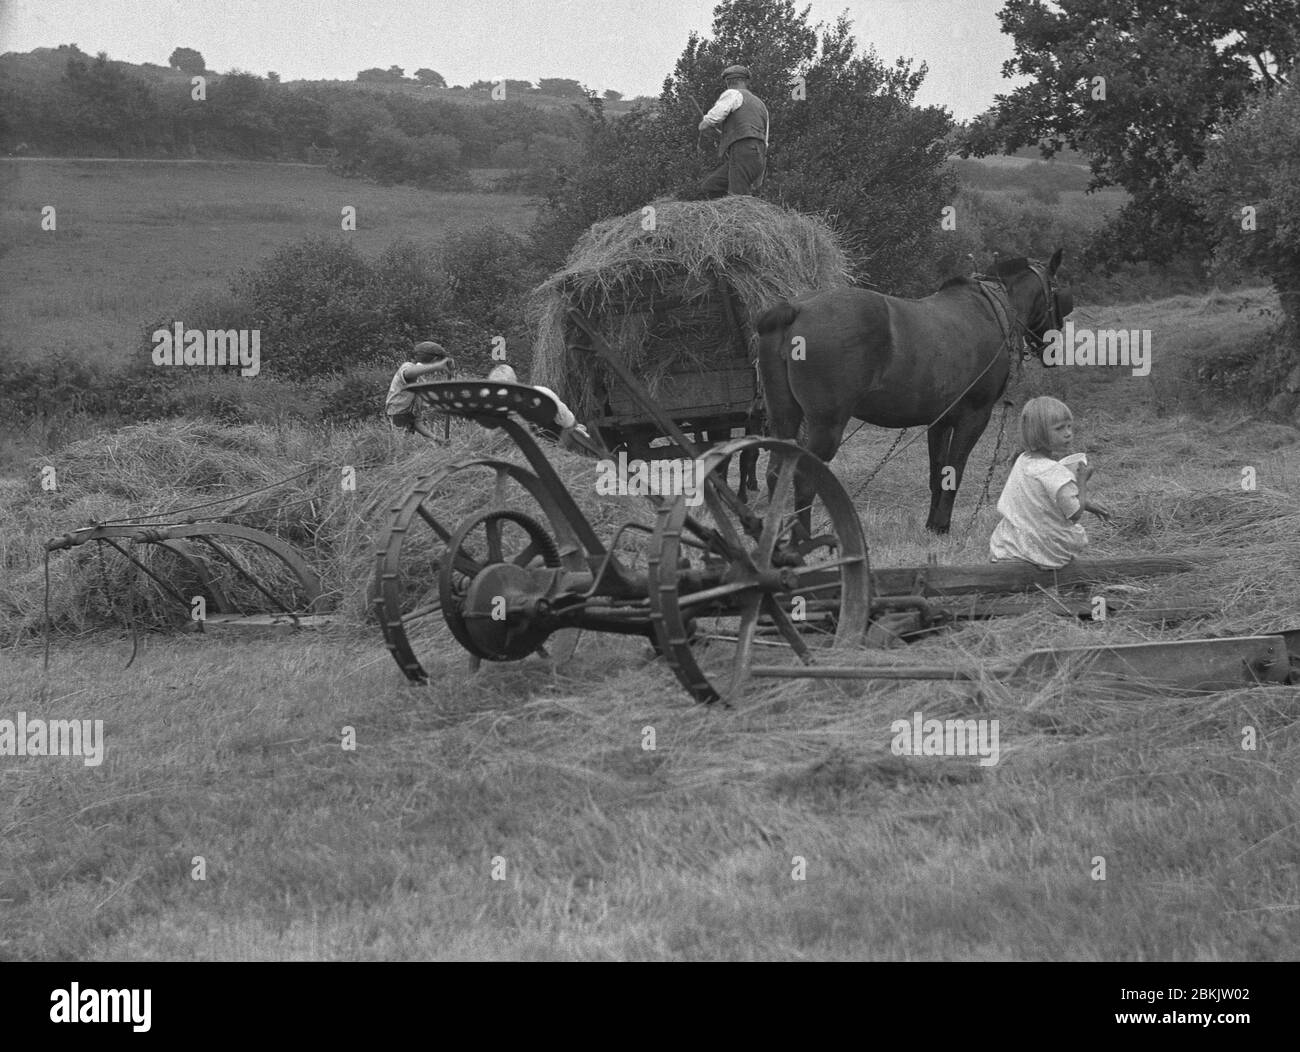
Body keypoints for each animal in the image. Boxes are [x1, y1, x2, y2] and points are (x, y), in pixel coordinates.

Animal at [759, 250, 1071, 533]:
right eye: (1058, 294)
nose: (1053, 351)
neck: (992, 311)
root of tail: (797, 309)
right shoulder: (974, 417)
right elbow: (955, 469)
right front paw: (942, 526)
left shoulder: (940, 421)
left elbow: (939, 474)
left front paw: (932, 525)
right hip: (826, 425)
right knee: (803, 478)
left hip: (784, 416)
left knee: (776, 472)